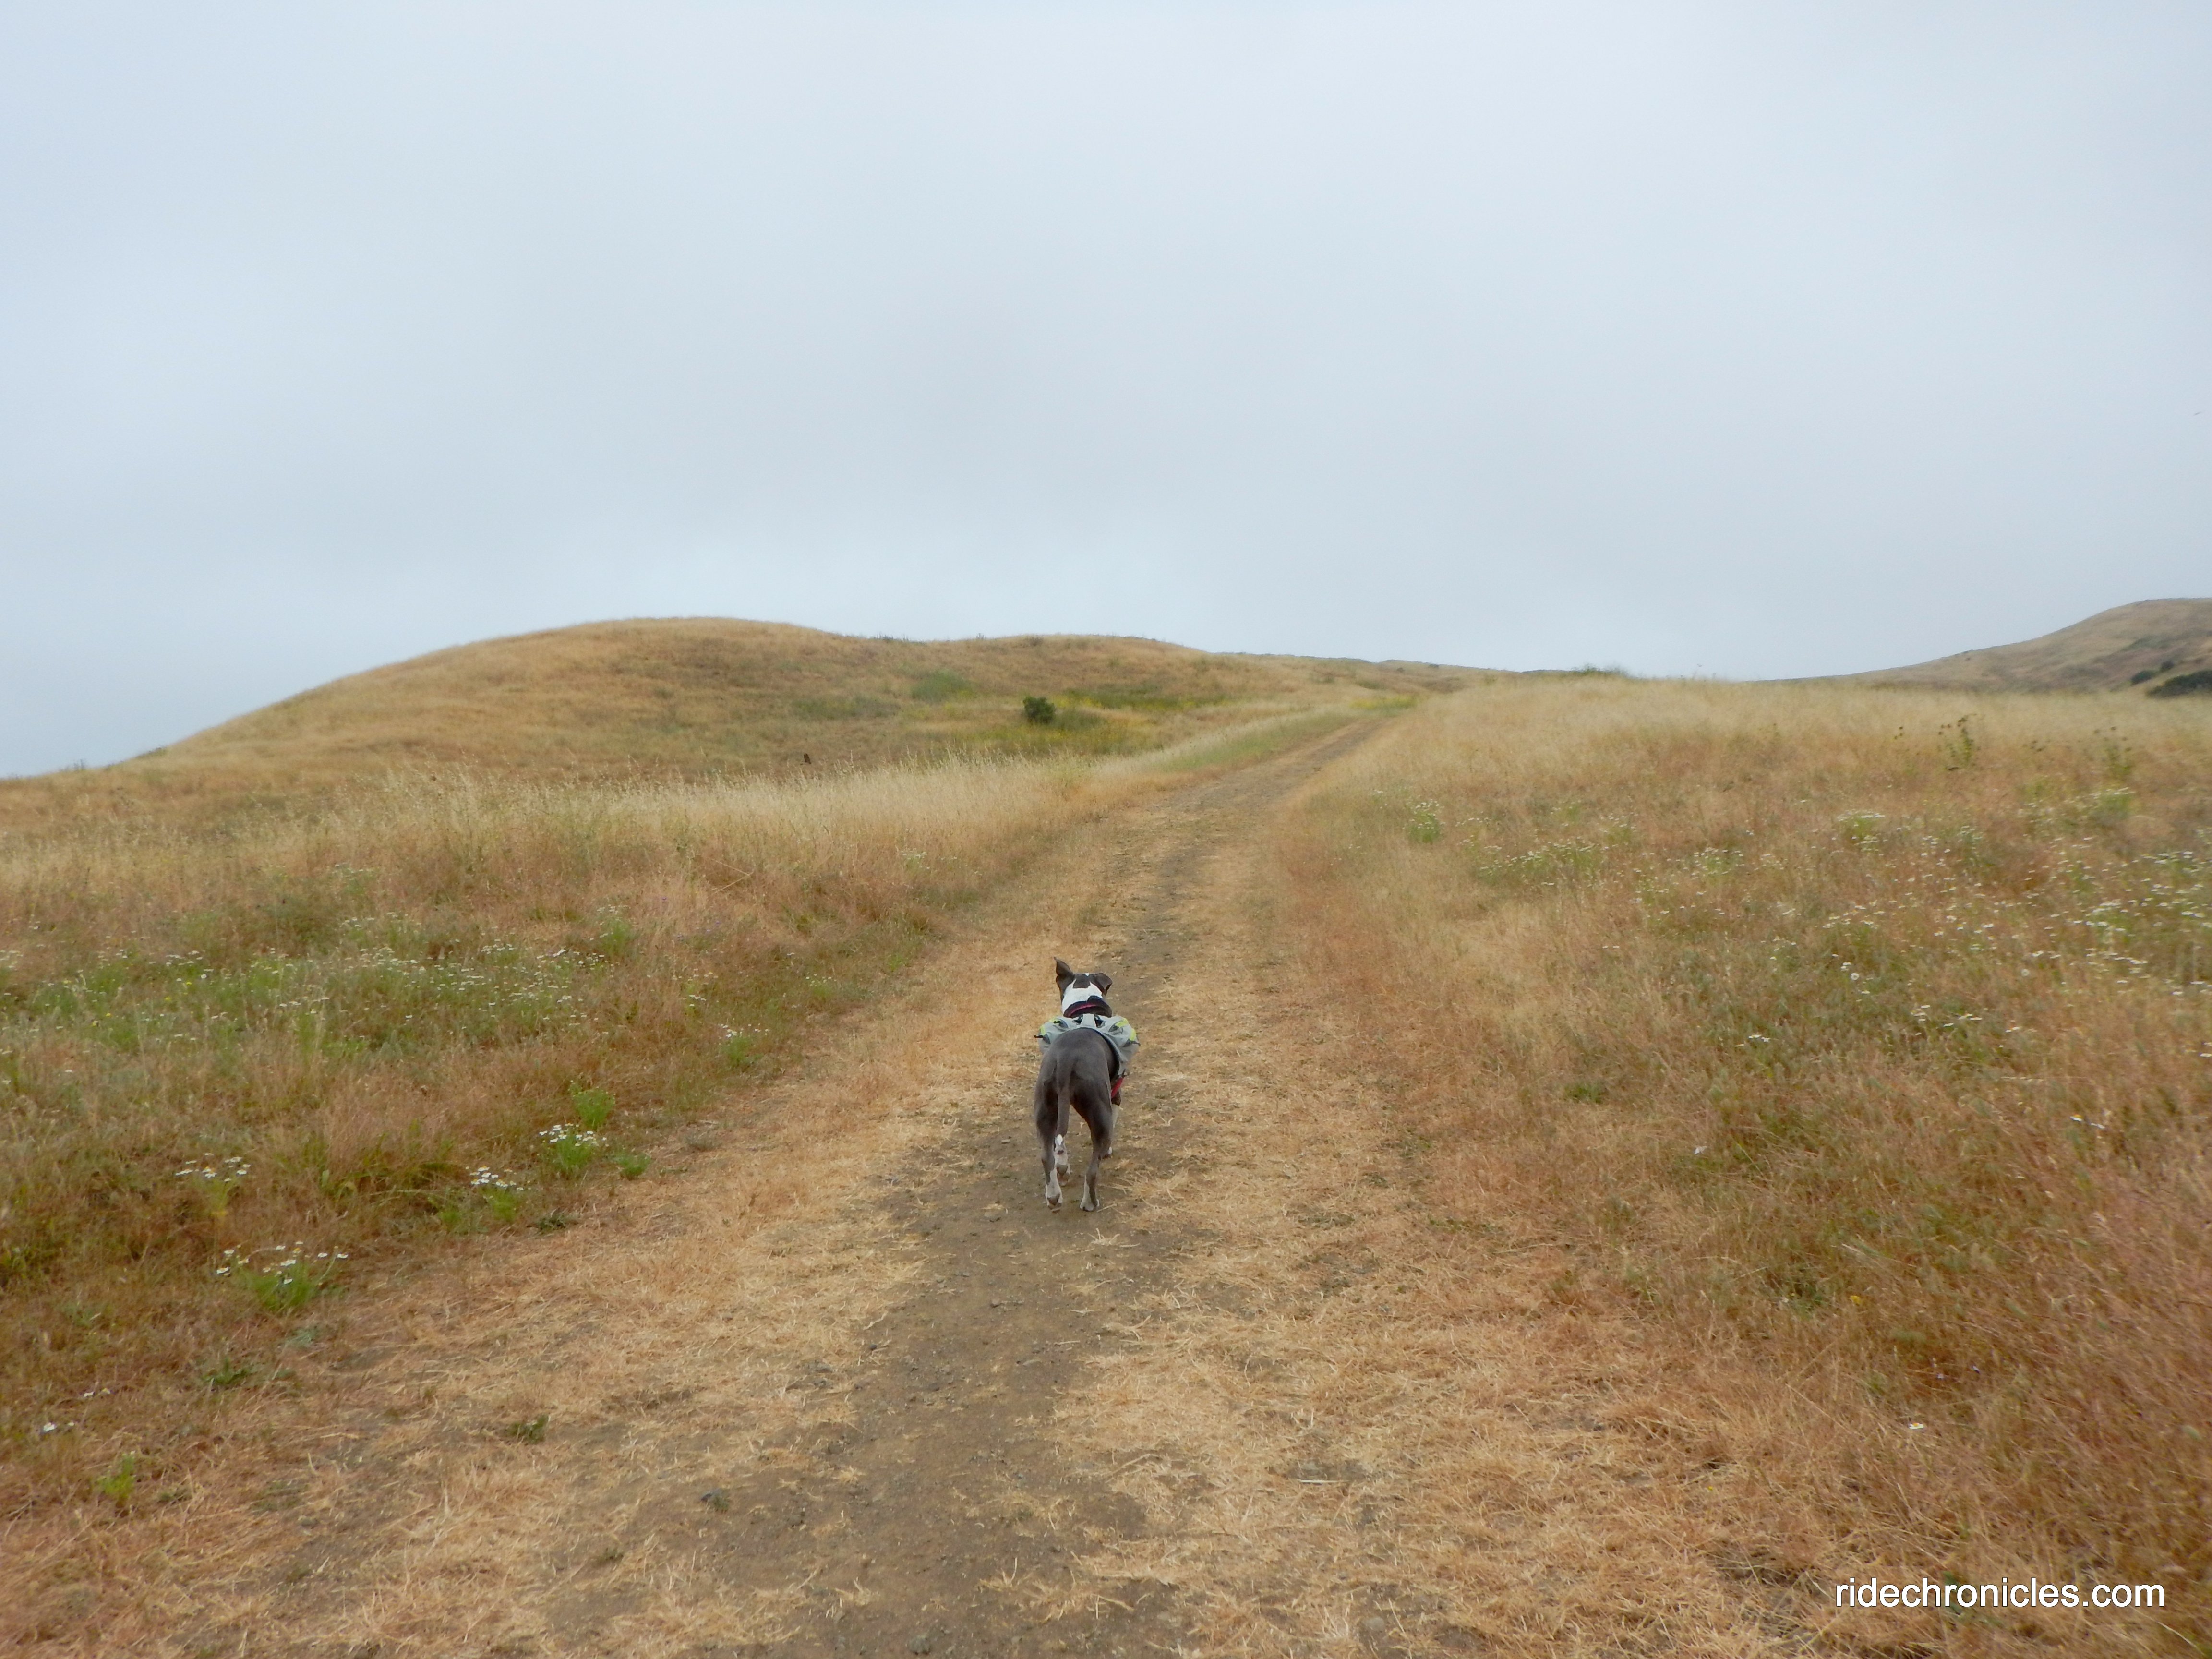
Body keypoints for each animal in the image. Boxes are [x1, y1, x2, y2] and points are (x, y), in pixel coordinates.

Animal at [1032, 959, 1138, 1211]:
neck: (1086, 1009)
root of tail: (1067, 1060)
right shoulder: (1115, 1094)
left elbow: (1059, 1150)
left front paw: (1063, 1166)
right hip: (1100, 1113)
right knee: (1092, 1169)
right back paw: (1090, 1202)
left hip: (1046, 1108)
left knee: (1047, 1155)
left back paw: (1054, 1195)